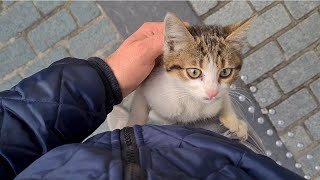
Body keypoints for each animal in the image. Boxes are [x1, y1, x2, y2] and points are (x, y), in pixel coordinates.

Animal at [125, 13, 252, 141]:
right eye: (194, 72)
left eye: (225, 72)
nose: (212, 93)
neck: (192, 102)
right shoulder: (149, 87)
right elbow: (139, 109)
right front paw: (133, 126)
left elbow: (225, 97)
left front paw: (235, 122)